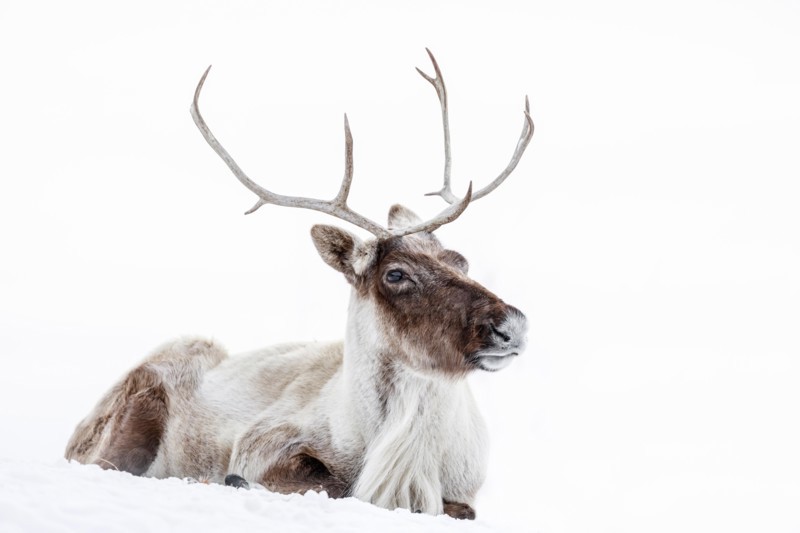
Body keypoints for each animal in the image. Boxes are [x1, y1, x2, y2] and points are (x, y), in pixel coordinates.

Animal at [65, 49, 534, 520]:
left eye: (461, 260)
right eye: (395, 274)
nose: (511, 325)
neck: (405, 455)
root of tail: (75, 433)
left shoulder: (463, 490)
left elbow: (459, 508)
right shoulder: (263, 442)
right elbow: (334, 485)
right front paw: (226, 480)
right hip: (130, 415)